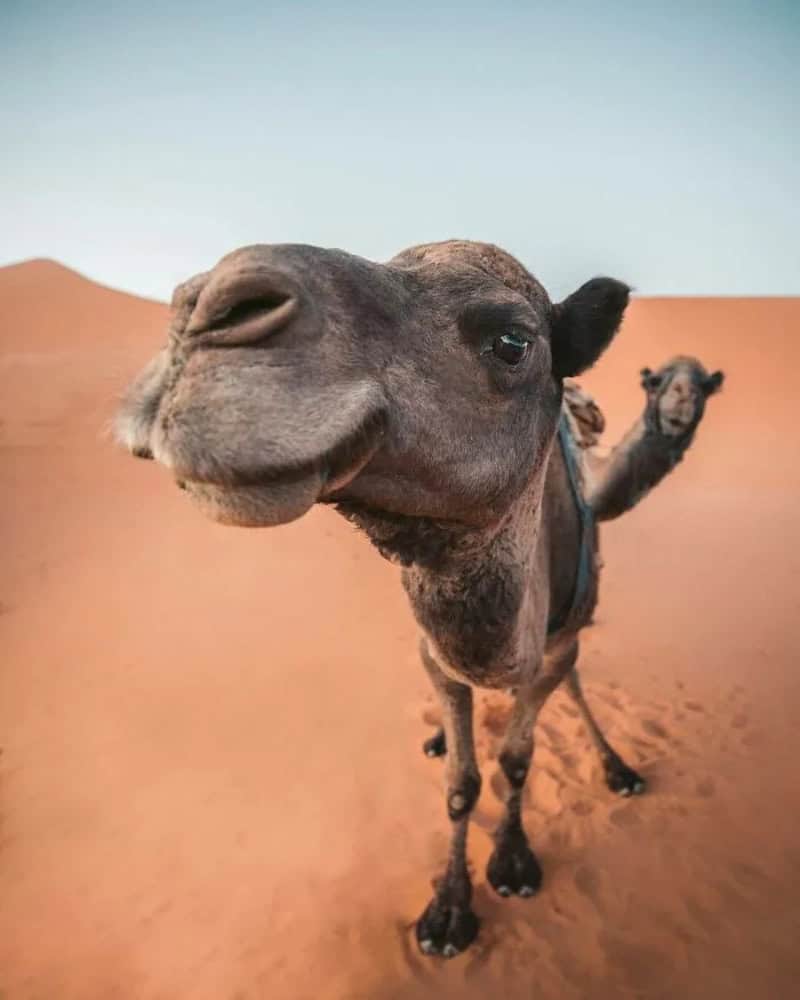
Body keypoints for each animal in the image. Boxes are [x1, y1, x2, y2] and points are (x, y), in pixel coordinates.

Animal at [116, 240, 723, 958]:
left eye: (512, 342)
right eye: (658, 385)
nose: (202, 308)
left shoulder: (554, 646)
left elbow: (518, 758)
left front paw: (513, 862)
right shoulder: (439, 654)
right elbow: (461, 785)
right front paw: (448, 911)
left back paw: (617, 766)